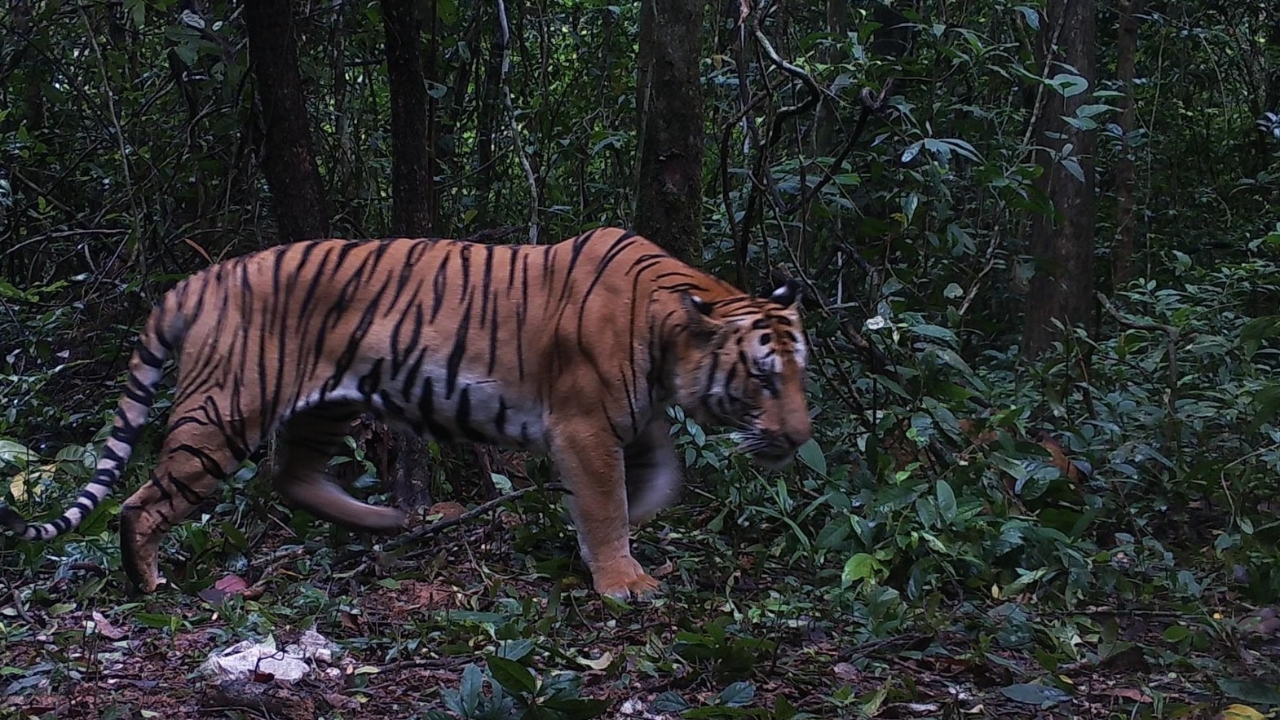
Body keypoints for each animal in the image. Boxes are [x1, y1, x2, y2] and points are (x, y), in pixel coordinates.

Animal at [0, 226, 814, 597]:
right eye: (764, 378)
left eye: (801, 373)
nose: (803, 437)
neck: (672, 330)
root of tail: (200, 279)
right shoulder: (584, 425)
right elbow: (607, 500)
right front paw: (623, 579)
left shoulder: (634, 421)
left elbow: (655, 484)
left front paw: (619, 540)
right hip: (222, 412)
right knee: (143, 501)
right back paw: (148, 583)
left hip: (326, 405)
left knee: (293, 478)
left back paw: (398, 520)